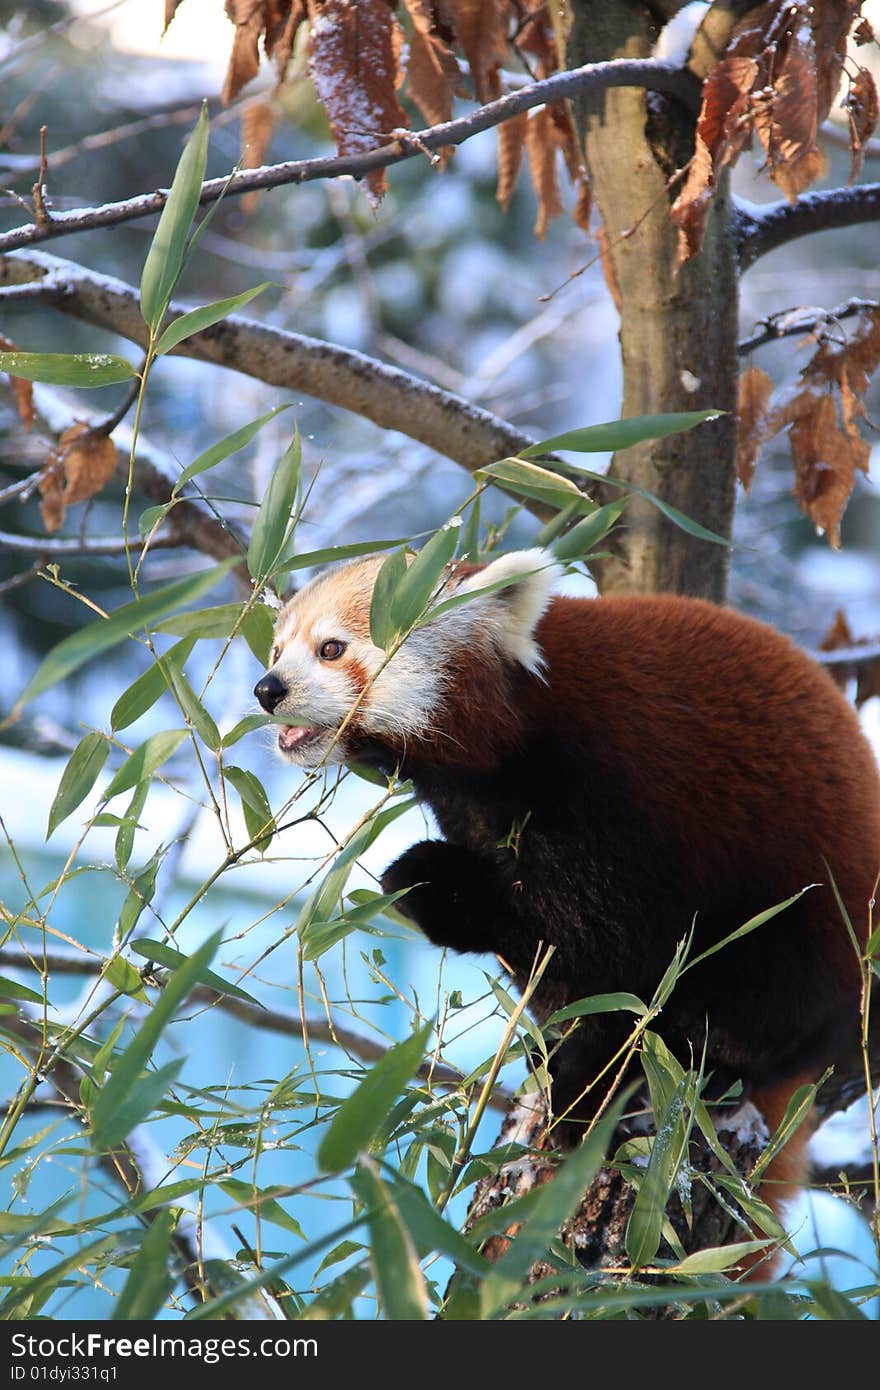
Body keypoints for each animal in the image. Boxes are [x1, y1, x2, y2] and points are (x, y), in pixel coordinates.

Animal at [254, 547, 878, 1234]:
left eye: (331, 649)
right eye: (277, 649)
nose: (267, 689)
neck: (520, 726)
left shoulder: (608, 789)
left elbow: (610, 959)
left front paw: (584, 1095)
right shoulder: (479, 806)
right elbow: (552, 961)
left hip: (802, 914)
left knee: (753, 1002)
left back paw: (709, 1065)